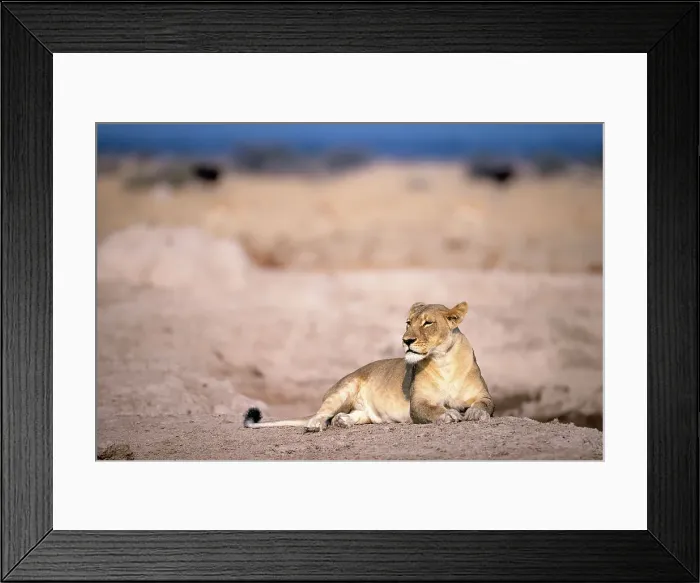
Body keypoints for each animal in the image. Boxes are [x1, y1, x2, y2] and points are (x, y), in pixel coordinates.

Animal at [243, 301, 494, 432]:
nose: (406, 340)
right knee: (323, 411)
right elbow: (432, 410)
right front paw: (449, 414)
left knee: (353, 415)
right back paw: (317, 424)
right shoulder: (418, 403)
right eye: (408, 323)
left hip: (365, 411)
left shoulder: (484, 395)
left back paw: (343, 421)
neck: (444, 361)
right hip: (343, 388)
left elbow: (484, 405)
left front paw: (474, 413)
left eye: (428, 323)